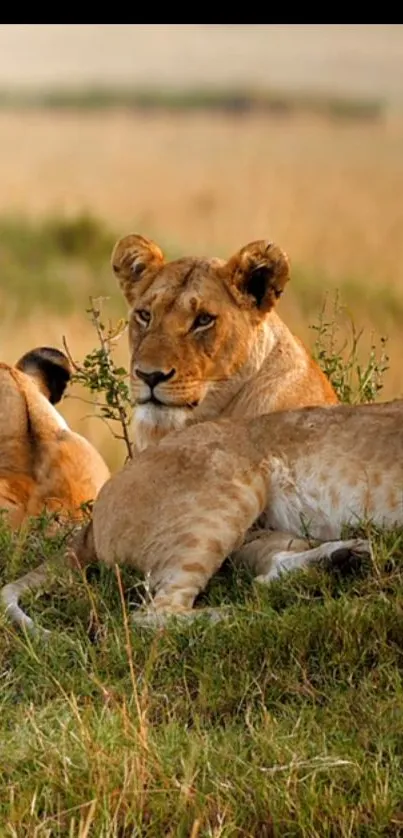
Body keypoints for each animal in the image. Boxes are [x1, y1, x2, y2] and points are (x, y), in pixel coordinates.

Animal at [3, 398, 403, 632]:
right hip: (224, 499)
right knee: (153, 614)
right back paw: (244, 617)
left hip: (261, 532)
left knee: (268, 572)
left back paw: (346, 558)